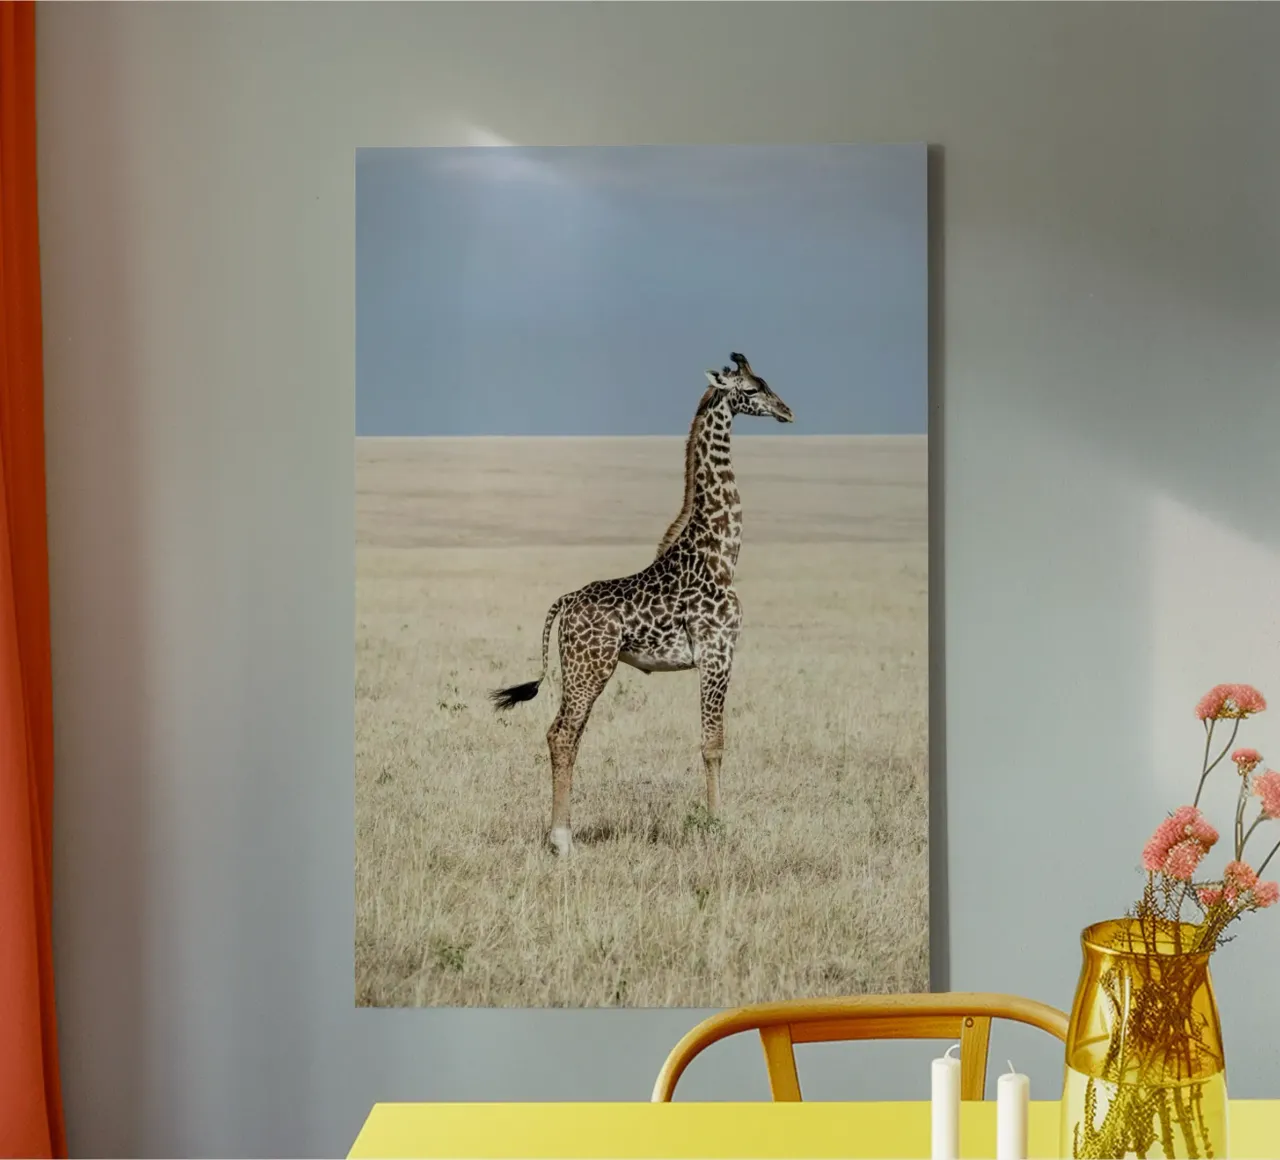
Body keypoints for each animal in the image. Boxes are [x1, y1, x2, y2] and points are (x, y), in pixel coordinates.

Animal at [490, 353, 794, 856]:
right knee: (562, 734)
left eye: (767, 383)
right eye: (751, 390)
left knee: (566, 735)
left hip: (583, 670)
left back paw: (563, 834)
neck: (721, 554)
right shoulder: (717, 653)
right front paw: (716, 825)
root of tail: (564, 603)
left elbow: (712, 742)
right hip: (589, 668)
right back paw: (561, 841)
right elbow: (713, 744)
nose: (787, 411)